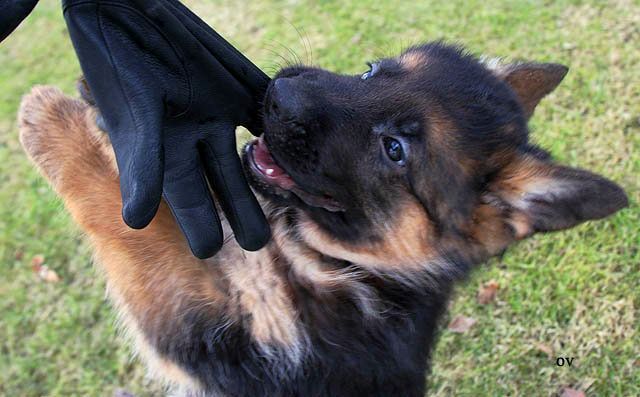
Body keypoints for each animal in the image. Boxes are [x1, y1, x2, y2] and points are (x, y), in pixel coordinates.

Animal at [18, 41, 624, 394]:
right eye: (372, 70)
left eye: (395, 149)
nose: (277, 93)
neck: (350, 266)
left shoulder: (205, 332)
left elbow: (139, 230)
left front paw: (51, 119)